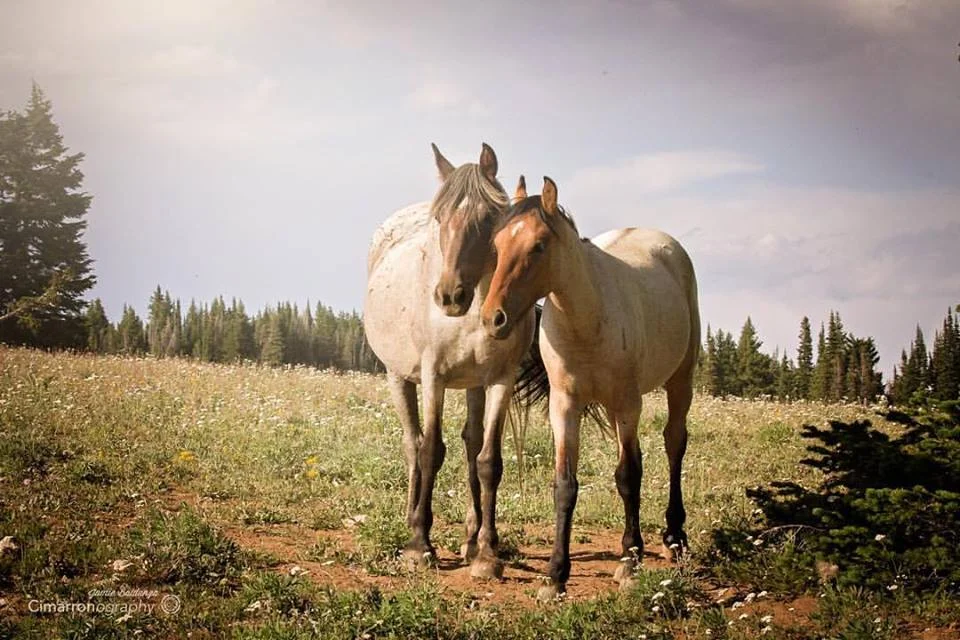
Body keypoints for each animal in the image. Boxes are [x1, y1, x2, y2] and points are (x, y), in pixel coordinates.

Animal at [363, 144, 538, 580]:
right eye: (441, 219)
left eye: (488, 218)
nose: (449, 296)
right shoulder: (433, 375)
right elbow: (430, 451)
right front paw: (418, 546)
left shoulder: (501, 379)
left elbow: (488, 461)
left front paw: (488, 553)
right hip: (398, 377)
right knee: (412, 445)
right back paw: (411, 520)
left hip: (474, 385)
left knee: (471, 443)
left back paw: (471, 539)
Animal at [480, 176, 700, 601]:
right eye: (496, 245)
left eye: (538, 246)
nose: (492, 318)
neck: (588, 321)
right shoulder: (565, 407)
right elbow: (566, 485)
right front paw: (555, 576)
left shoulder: (629, 403)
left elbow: (629, 477)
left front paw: (629, 564)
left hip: (678, 381)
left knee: (673, 444)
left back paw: (674, 535)